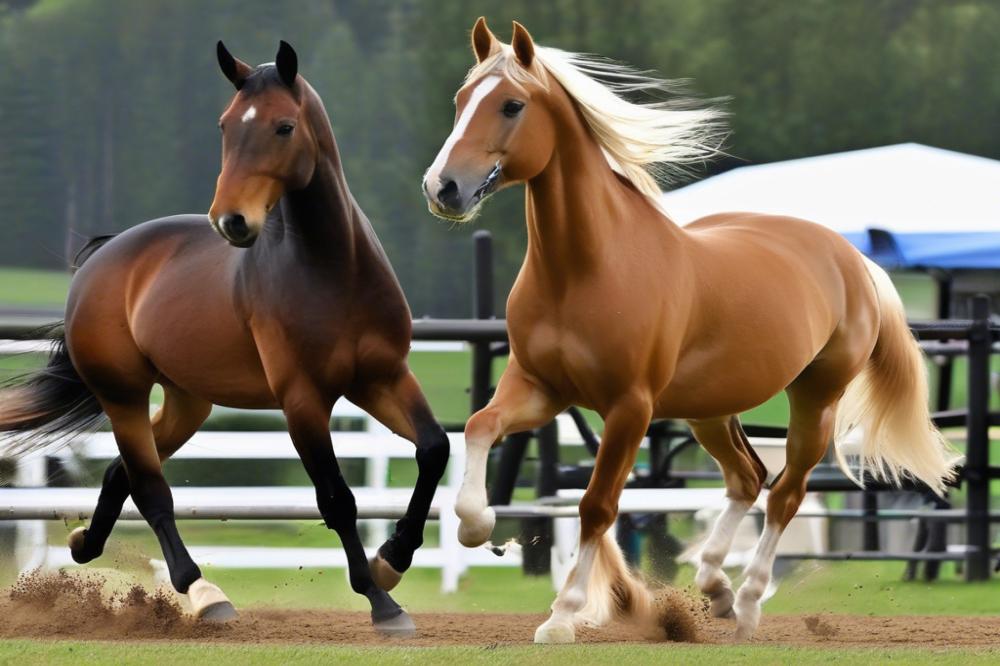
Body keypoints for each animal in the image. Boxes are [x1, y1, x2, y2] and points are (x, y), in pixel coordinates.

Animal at [0, 41, 446, 632]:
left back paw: (84, 545)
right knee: (151, 489)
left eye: (283, 126)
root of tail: (103, 256)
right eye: (225, 125)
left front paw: (391, 561)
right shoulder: (303, 402)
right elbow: (337, 499)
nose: (231, 221)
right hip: (124, 396)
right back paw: (203, 592)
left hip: (188, 402)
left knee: (122, 473)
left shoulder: (382, 378)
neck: (335, 272)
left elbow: (434, 449)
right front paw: (380, 600)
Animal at [424, 18, 960, 640]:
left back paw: (747, 603)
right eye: (460, 101)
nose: (443, 188)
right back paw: (715, 587)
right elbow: (480, 426)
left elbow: (596, 506)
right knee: (747, 478)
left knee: (785, 493)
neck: (584, 270)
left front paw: (562, 616)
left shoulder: (629, 409)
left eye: (512, 105)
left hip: (815, 400)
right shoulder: (539, 387)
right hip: (709, 410)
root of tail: (852, 258)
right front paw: (477, 527)